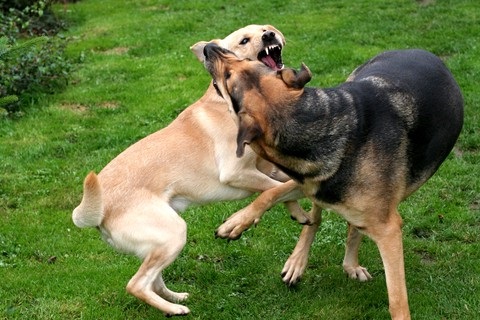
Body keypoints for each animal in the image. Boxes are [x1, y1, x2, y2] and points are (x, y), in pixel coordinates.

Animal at [73, 25, 310, 318]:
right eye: (244, 41)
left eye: (266, 29)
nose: (269, 36)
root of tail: (99, 210)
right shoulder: (236, 172)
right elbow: (278, 190)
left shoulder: (267, 168)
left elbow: (283, 188)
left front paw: (298, 213)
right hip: (174, 234)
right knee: (136, 284)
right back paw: (175, 309)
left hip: (160, 243)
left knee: (153, 280)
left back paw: (174, 298)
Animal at [204, 43, 464, 318]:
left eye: (230, 77)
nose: (210, 47)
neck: (316, 123)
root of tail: (422, 51)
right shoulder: (311, 182)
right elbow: (271, 194)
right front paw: (237, 222)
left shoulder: (389, 231)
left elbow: (397, 299)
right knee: (315, 219)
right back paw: (299, 260)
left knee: (350, 227)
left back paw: (349, 263)